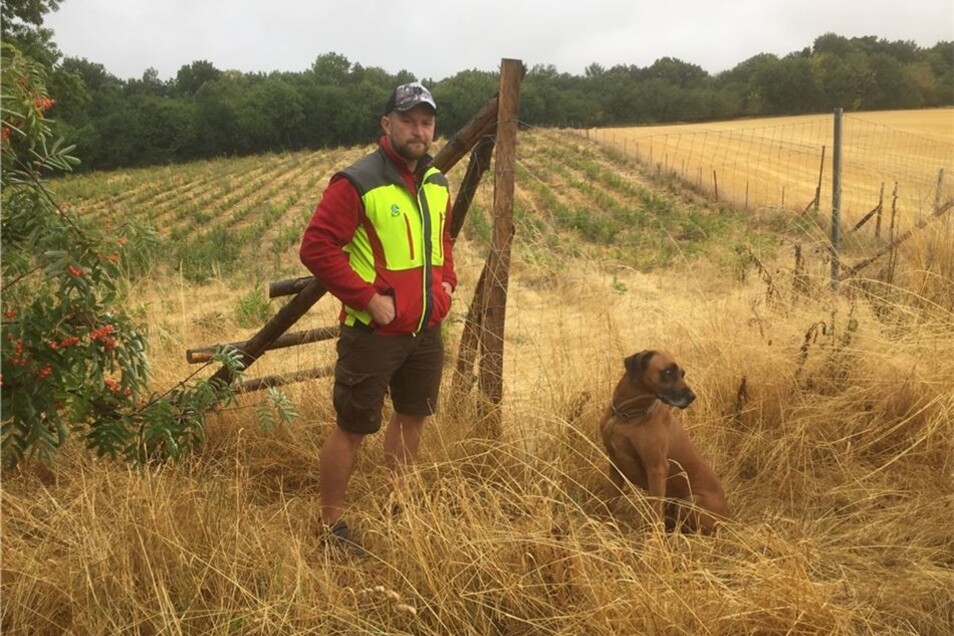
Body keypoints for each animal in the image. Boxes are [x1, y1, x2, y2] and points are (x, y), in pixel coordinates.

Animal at [600, 350, 724, 536]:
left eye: (682, 374)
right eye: (668, 372)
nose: (692, 396)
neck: (626, 416)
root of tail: (727, 516)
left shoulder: (657, 468)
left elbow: (655, 511)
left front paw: (654, 539)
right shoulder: (615, 464)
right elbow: (612, 501)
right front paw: (607, 527)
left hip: (689, 502)